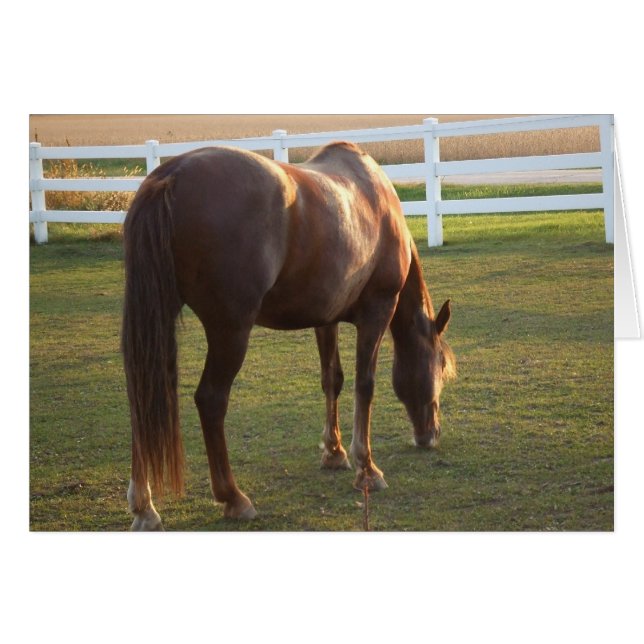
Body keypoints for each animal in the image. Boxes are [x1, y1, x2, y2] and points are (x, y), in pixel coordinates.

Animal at [122, 141, 456, 530]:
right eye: (440, 367)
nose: (430, 435)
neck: (378, 199)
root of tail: (169, 175)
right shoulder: (377, 310)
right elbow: (365, 385)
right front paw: (367, 468)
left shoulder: (325, 318)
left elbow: (332, 380)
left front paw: (334, 453)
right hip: (230, 331)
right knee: (211, 399)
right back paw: (233, 497)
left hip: (159, 318)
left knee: (142, 397)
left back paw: (144, 507)